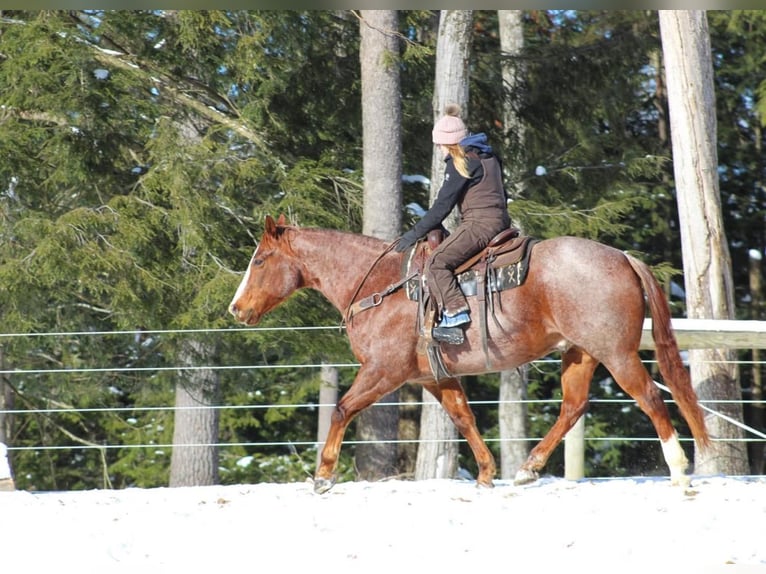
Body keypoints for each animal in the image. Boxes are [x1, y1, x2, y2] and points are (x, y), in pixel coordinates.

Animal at [231, 215, 712, 496]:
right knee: (574, 406)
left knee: (650, 397)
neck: (381, 285)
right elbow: (463, 418)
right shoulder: (434, 377)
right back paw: (527, 469)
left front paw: (324, 475)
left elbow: (343, 408)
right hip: (580, 354)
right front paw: (484, 472)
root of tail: (623, 257)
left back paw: (680, 471)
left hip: (617, 354)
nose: (236, 308)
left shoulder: (383, 371)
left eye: (260, 260)